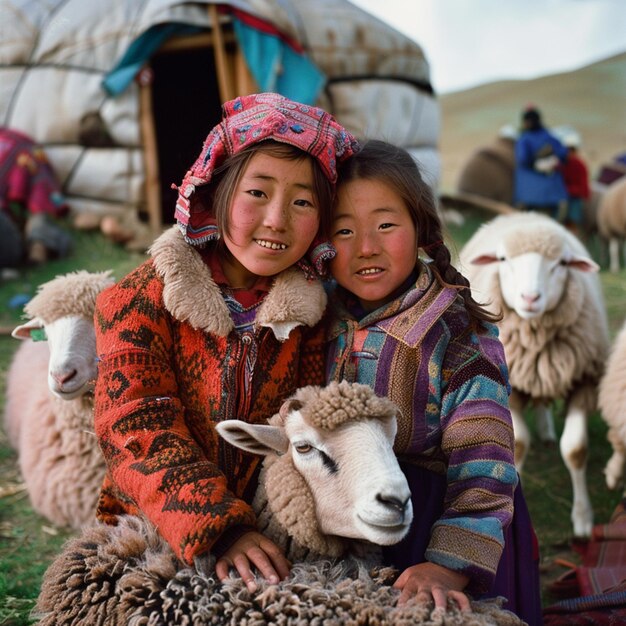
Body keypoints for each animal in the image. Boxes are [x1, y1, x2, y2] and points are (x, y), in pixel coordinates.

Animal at [456, 211, 608, 536]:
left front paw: (582, 519)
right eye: (503, 259)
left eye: (562, 263)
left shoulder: (583, 381)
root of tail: (525, 215)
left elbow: (575, 450)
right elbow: (518, 446)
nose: (530, 297)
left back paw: (548, 431)